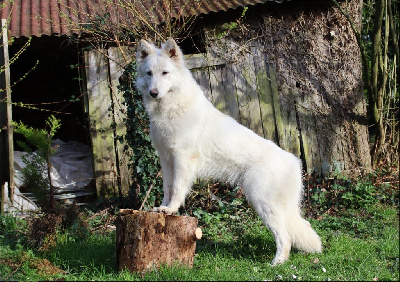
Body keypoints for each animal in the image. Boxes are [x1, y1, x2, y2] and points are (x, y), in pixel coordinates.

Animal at [136, 38, 320, 266]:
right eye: (149, 73)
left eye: (165, 73)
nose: (153, 93)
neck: (172, 106)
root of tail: (294, 162)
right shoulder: (166, 160)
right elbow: (167, 189)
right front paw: (163, 208)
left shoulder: (182, 159)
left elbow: (178, 189)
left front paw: (171, 209)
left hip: (263, 203)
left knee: (284, 238)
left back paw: (275, 264)